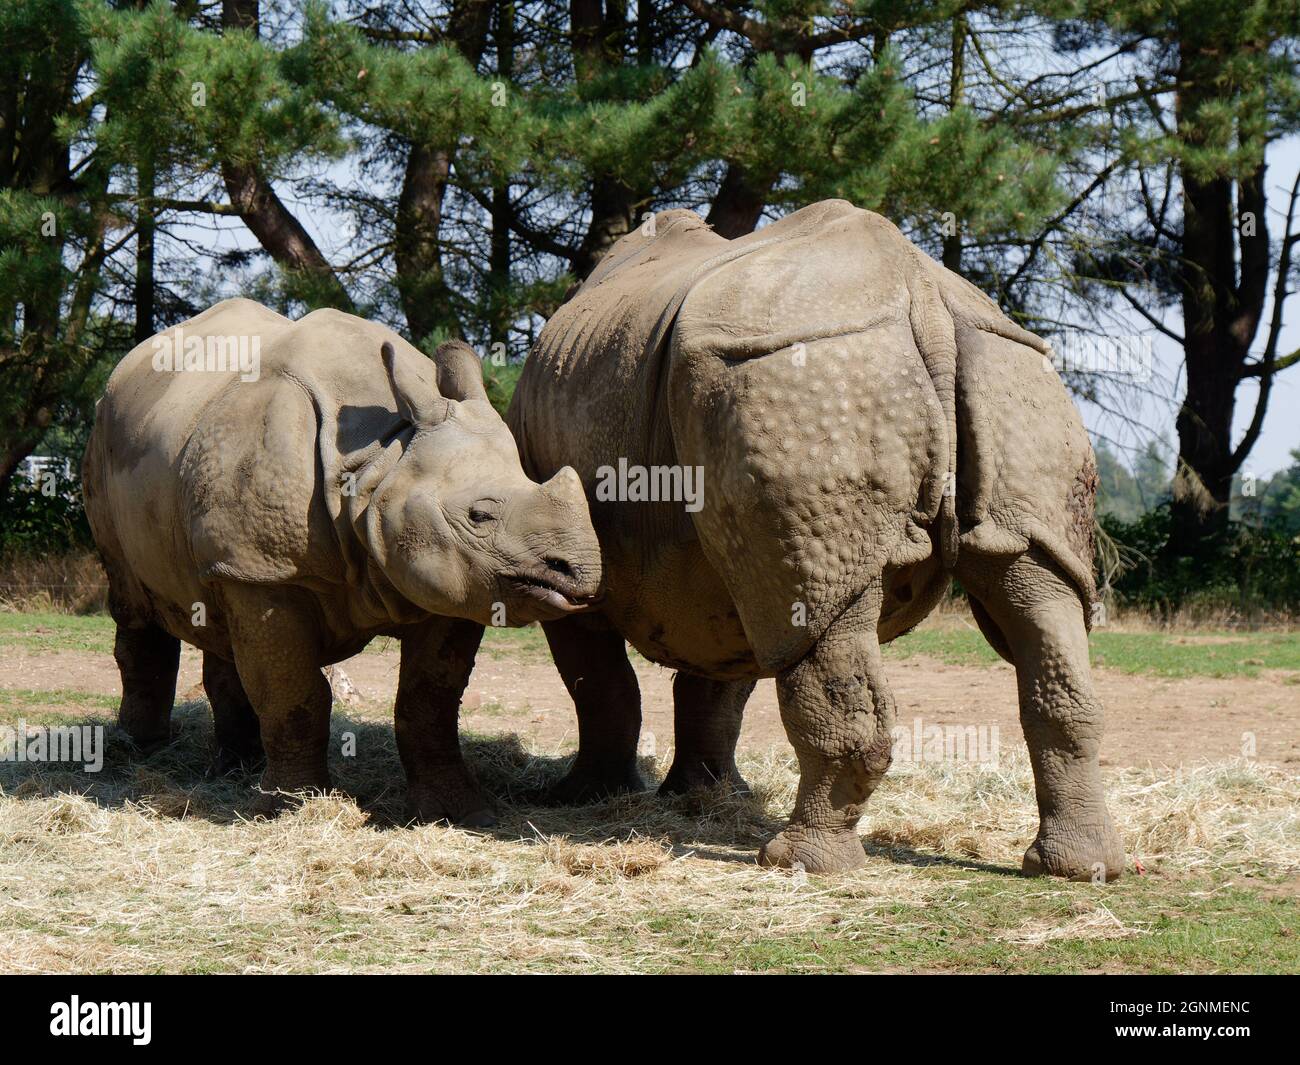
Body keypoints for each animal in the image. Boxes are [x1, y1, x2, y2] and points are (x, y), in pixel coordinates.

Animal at [83, 300, 600, 827]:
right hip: (104, 440)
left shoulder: (459, 584)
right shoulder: (269, 572)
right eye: (479, 515)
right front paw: (291, 811)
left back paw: (234, 767)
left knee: (214, 606)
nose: (579, 574)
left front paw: (460, 813)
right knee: (134, 602)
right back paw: (141, 754)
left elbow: (429, 698)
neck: (377, 462)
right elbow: (294, 694)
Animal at [506, 200, 1128, 884]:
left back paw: (796, 861)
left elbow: (600, 679)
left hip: (795, 372)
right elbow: (727, 673)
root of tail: (925, 298)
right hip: (1006, 376)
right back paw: (1078, 868)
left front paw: (584, 796)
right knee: (1034, 590)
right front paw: (706, 794)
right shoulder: (727, 565)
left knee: (823, 617)